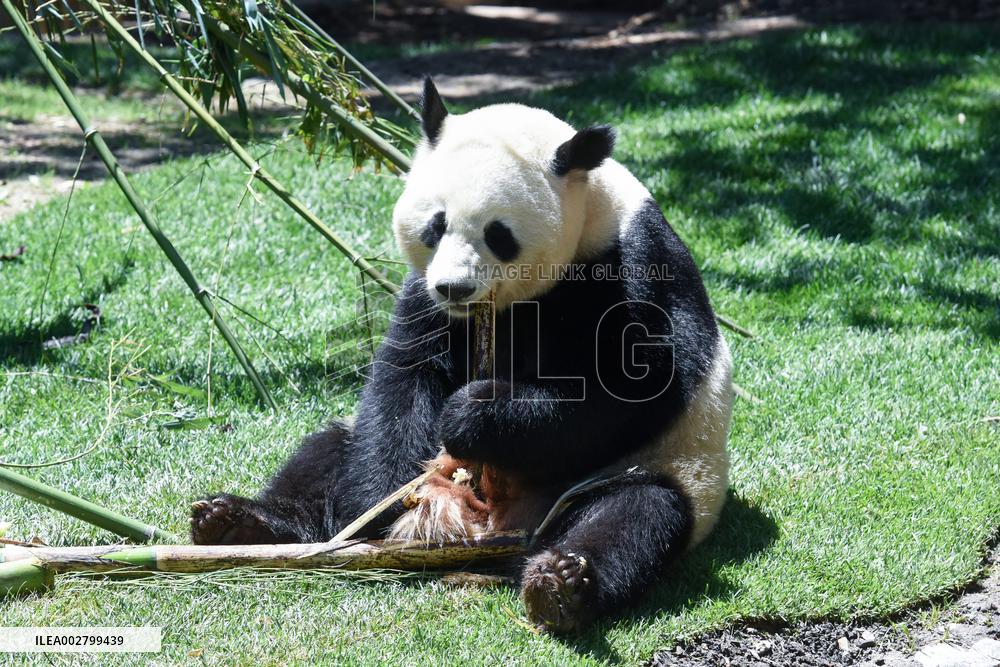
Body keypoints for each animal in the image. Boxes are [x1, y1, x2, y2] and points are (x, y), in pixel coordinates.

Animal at [189, 77, 733, 634]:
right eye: (436, 224)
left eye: (499, 234)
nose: (455, 288)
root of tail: (490, 535)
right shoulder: (423, 292)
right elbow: (407, 374)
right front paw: (382, 507)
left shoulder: (631, 263)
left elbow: (631, 392)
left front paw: (476, 413)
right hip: (350, 441)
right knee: (326, 452)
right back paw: (238, 523)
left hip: (655, 470)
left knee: (635, 514)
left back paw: (561, 583)